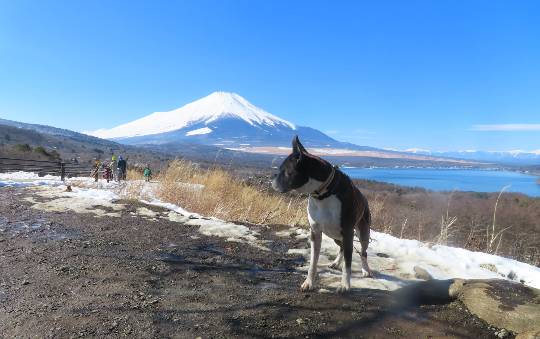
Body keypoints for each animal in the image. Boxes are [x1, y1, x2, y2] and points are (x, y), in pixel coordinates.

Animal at [272, 137, 374, 294]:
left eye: (285, 171)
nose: (272, 178)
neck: (322, 194)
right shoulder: (315, 232)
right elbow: (313, 262)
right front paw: (309, 282)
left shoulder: (348, 232)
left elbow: (348, 264)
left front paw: (345, 286)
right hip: (335, 236)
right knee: (342, 248)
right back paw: (336, 263)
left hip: (363, 232)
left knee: (363, 252)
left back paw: (365, 270)